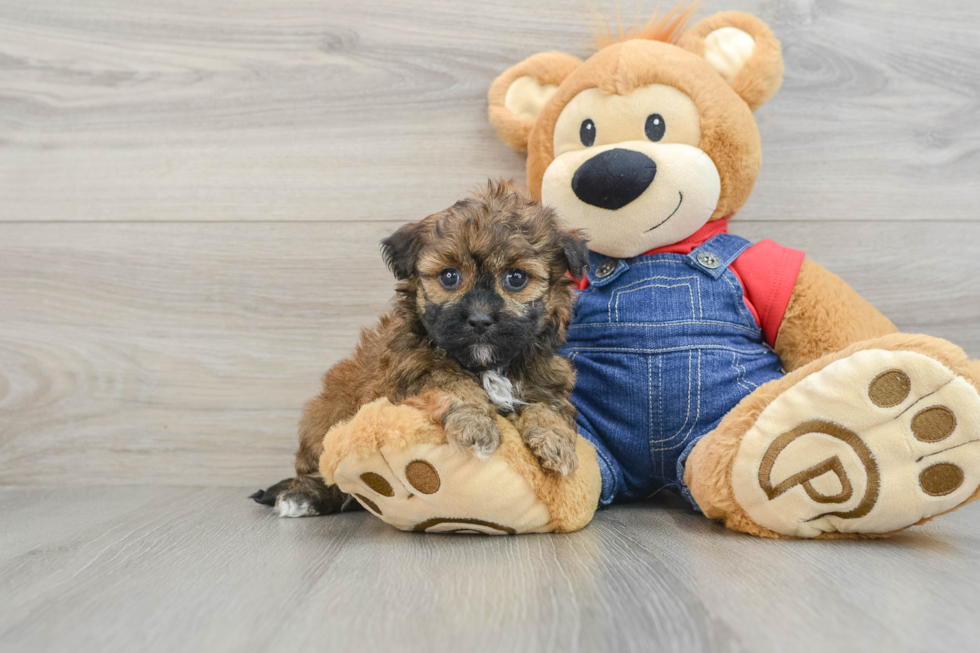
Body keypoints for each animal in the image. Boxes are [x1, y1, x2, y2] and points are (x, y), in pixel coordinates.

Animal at [255, 181, 588, 516]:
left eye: (516, 278)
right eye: (449, 276)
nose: (479, 320)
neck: (487, 364)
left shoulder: (546, 379)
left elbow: (548, 408)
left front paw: (556, 444)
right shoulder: (411, 372)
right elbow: (453, 385)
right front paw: (476, 426)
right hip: (324, 417)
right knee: (322, 468)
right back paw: (304, 495)